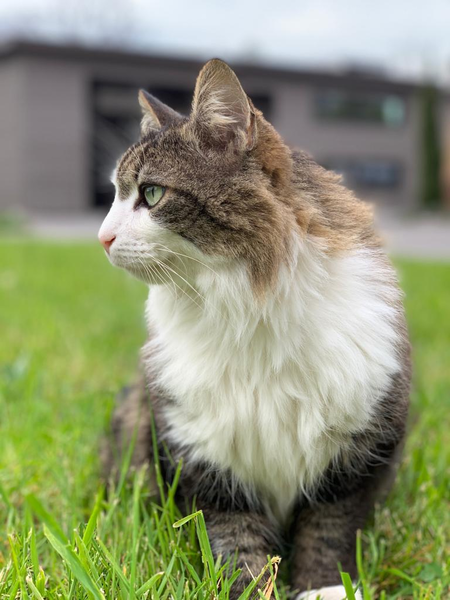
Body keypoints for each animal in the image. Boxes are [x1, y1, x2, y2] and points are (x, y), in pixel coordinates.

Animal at [98, 57, 412, 600]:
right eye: (116, 194)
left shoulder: (357, 455)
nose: (101, 237)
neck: (247, 315)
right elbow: (236, 543)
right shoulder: (204, 460)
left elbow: (327, 530)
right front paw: (253, 588)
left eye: (151, 193)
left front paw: (323, 588)